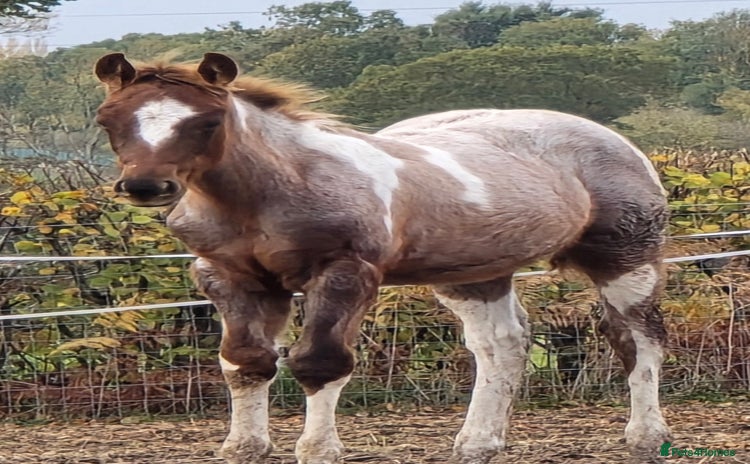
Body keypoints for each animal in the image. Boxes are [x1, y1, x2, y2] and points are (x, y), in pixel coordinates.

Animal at [93, 52, 672, 464]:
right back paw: (478, 443)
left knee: (637, 339)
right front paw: (243, 448)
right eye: (109, 119)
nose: (146, 186)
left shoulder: (345, 274)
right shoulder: (232, 280)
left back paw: (647, 435)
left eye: (210, 121)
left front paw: (319, 449)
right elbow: (246, 363)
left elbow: (319, 362)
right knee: (501, 346)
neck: (269, 192)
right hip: (475, 275)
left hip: (626, 259)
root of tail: (620, 141)